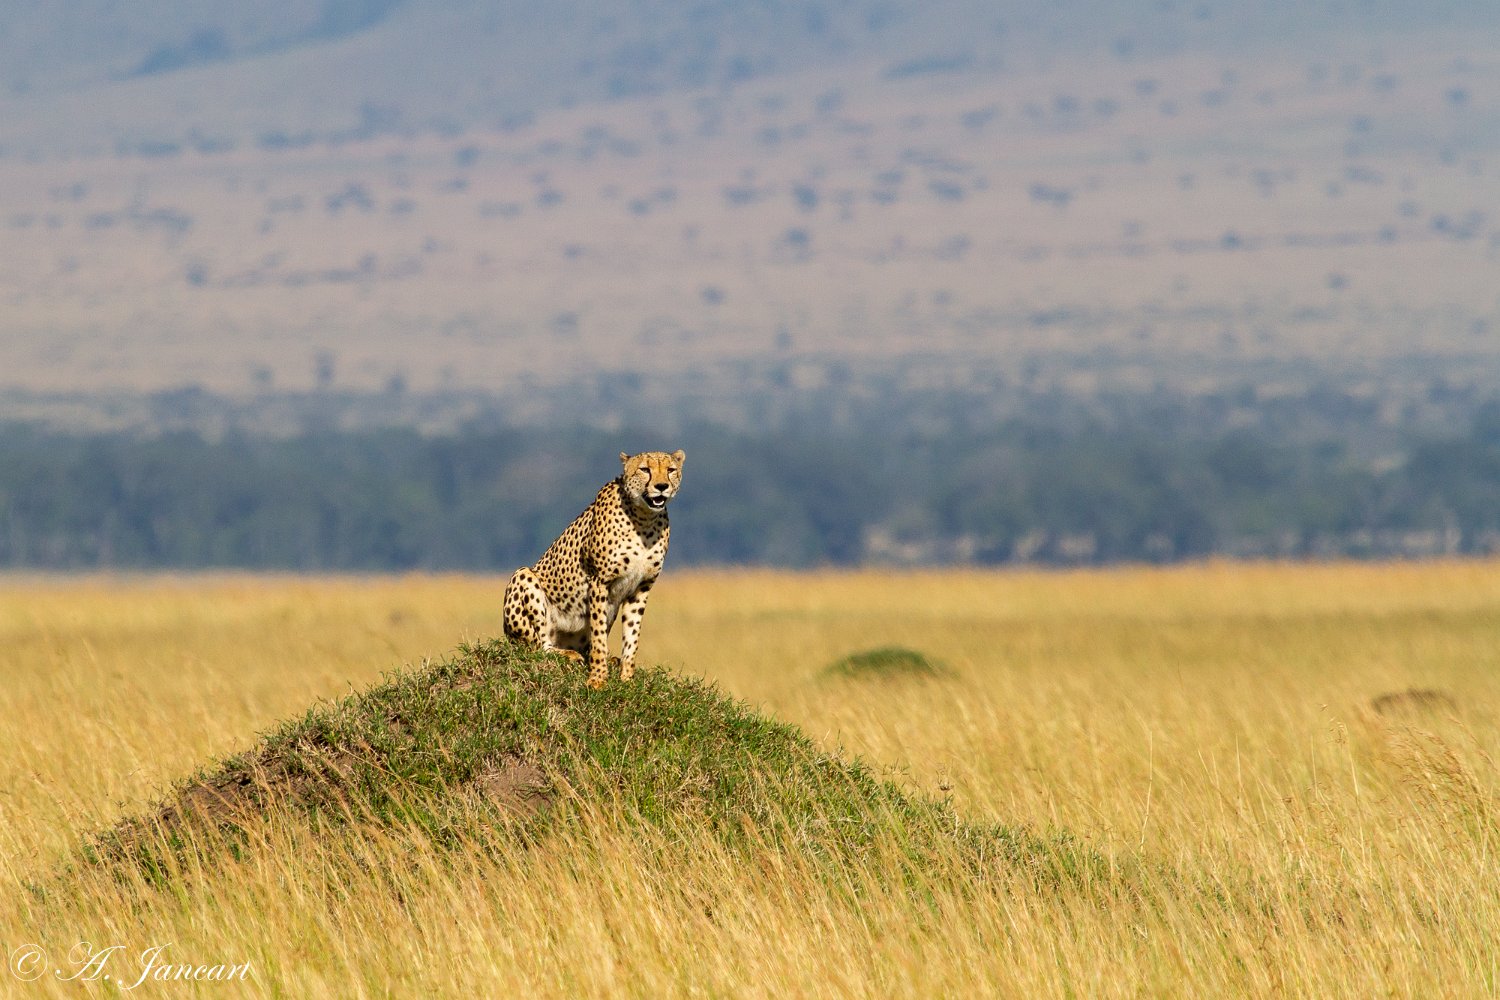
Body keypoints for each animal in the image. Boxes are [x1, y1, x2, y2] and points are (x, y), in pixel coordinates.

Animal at [502, 449, 685, 689]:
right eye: (645, 469)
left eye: (671, 470)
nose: (662, 486)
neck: (644, 519)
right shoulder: (599, 581)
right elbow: (598, 634)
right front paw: (597, 679)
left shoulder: (641, 588)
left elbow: (632, 636)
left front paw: (627, 679)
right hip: (523, 576)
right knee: (540, 646)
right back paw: (568, 654)